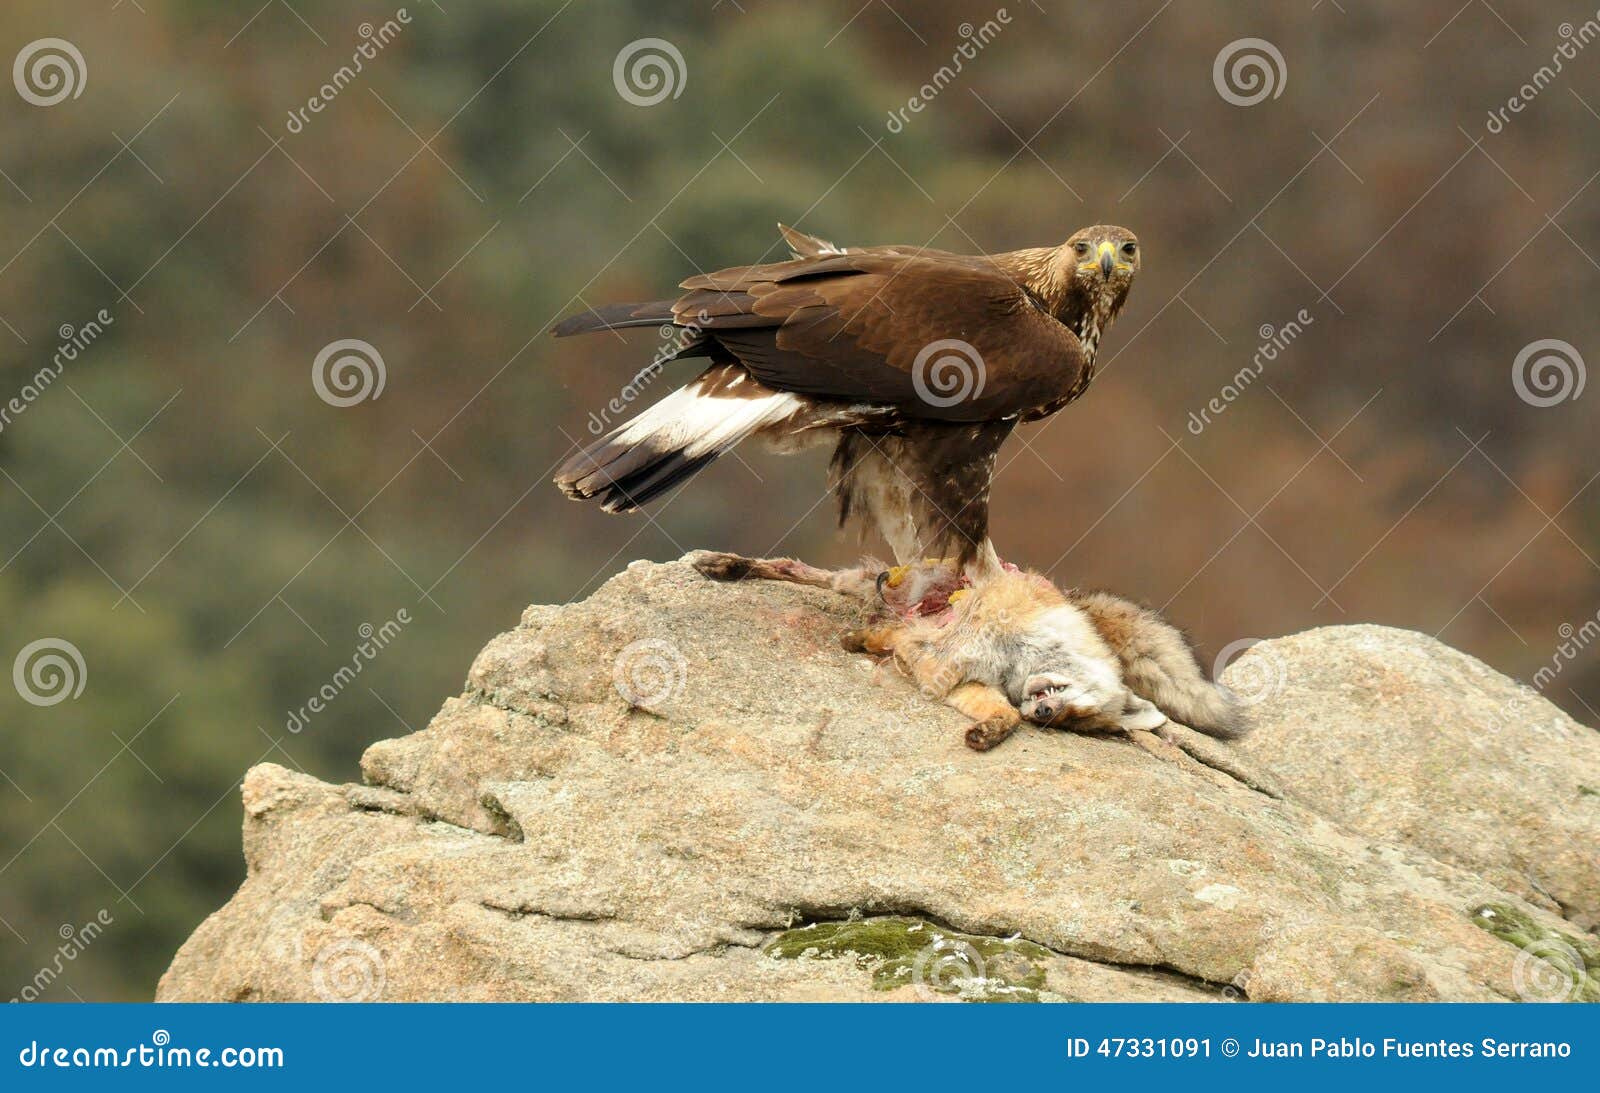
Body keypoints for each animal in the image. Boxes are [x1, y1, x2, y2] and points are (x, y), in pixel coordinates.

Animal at [691, 551, 1245, 751]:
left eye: (1075, 724)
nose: (1045, 713)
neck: (1013, 659)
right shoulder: (955, 634)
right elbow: (894, 640)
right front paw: (861, 643)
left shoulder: (960, 680)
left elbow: (1001, 714)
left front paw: (989, 733)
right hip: (883, 581)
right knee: (803, 570)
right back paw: (722, 565)